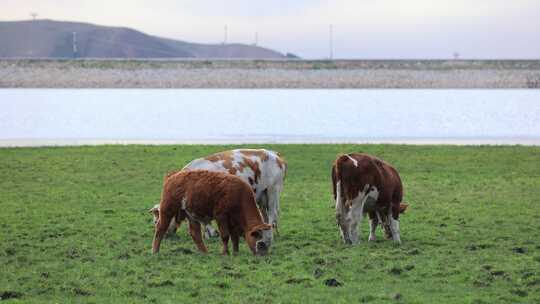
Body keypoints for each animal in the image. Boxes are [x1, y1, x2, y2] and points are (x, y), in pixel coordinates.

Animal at [151, 148, 286, 243]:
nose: (165, 235)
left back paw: (269, 236)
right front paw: (207, 234)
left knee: (272, 214)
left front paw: (212, 233)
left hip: (273, 190)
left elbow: (204, 220)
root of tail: (274, 153)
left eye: (156, 221)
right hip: (262, 195)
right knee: (265, 214)